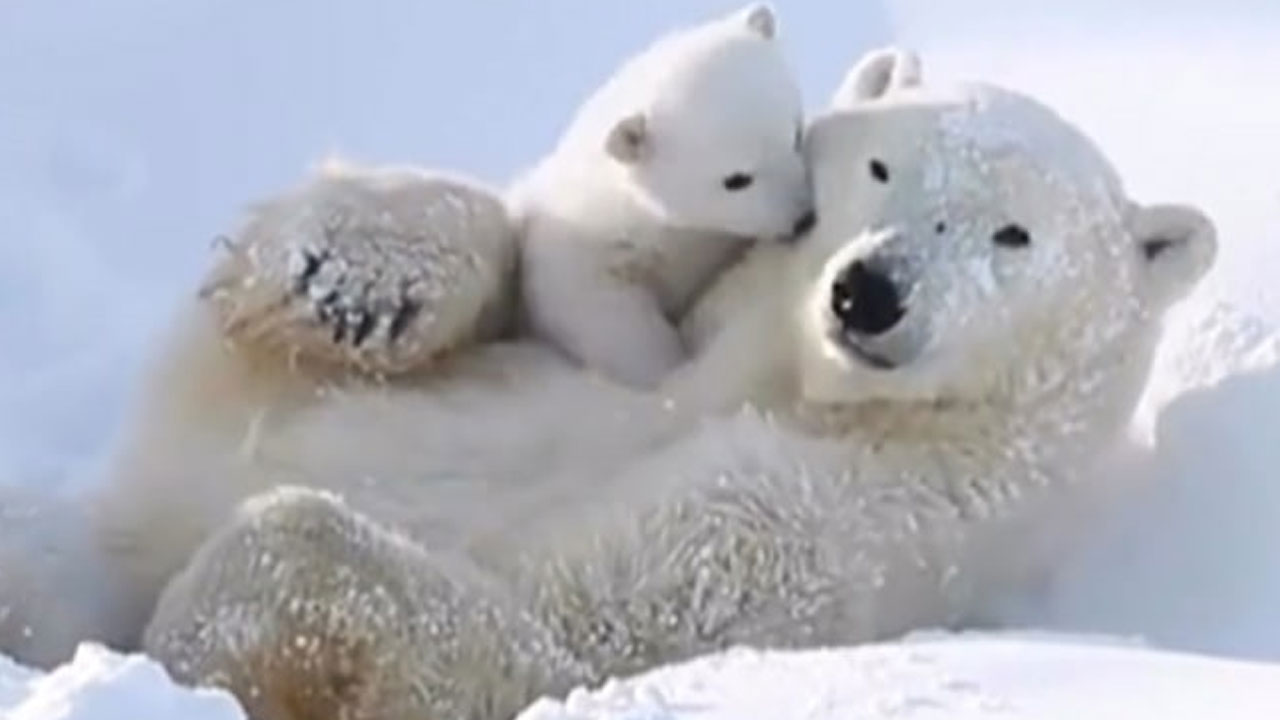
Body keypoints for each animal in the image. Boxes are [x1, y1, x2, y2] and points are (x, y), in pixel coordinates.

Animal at [138, 65, 1216, 720]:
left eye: (1012, 234)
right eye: (881, 164)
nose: (868, 291)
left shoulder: (850, 528)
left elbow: (558, 639)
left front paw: (190, 643)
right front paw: (347, 280)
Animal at [510, 3, 815, 390]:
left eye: (796, 133)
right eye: (736, 179)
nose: (803, 216)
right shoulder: (579, 245)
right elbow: (595, 306)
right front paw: (672, 372)